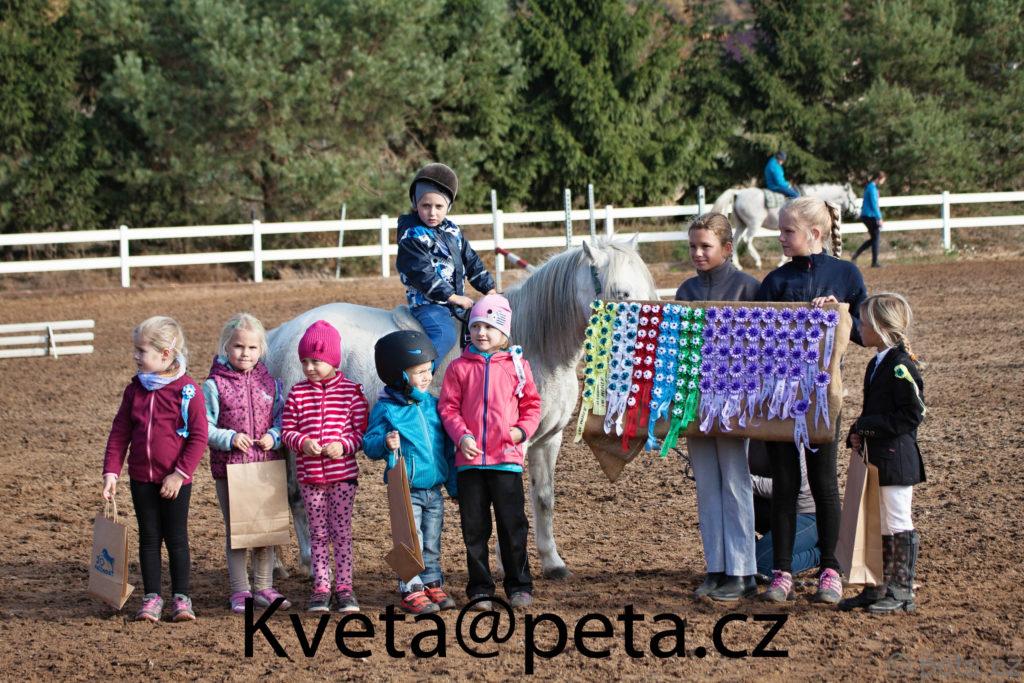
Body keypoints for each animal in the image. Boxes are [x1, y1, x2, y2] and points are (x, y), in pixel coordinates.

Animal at [263, 235, 658, 580]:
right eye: (622, 294)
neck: (531, 345)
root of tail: (283, 333)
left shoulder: (548, 441)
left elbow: (544, 499)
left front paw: (553, 562)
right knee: (297, 498)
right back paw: (308, 562)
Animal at [710, 183, 859, 270]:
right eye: (853, 197)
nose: (857, 213)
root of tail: (739, 193)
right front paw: (781, 261)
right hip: (753, 223)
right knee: (747, 240)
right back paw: (757, 262)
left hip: (741, 224)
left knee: (735, 240)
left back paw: (736, 264)